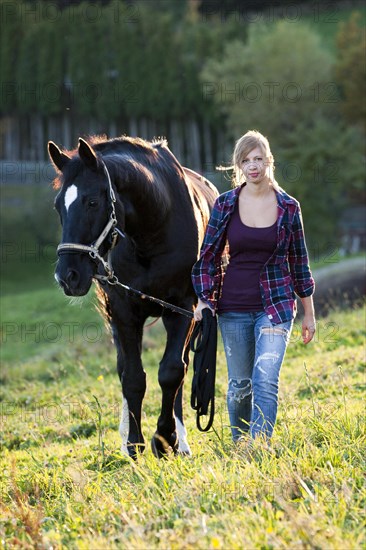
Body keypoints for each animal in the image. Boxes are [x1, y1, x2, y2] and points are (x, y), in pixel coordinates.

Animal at [49, 136, 219, 460]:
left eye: (92, 201)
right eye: (58, 207)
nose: (67, 276)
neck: (153, 228)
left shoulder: (183, 307)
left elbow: (171, 371)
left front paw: (165, 440)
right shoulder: (123, 311)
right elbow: (132, 377)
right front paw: (134, 442)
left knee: (181, 369)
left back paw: (180, 441)